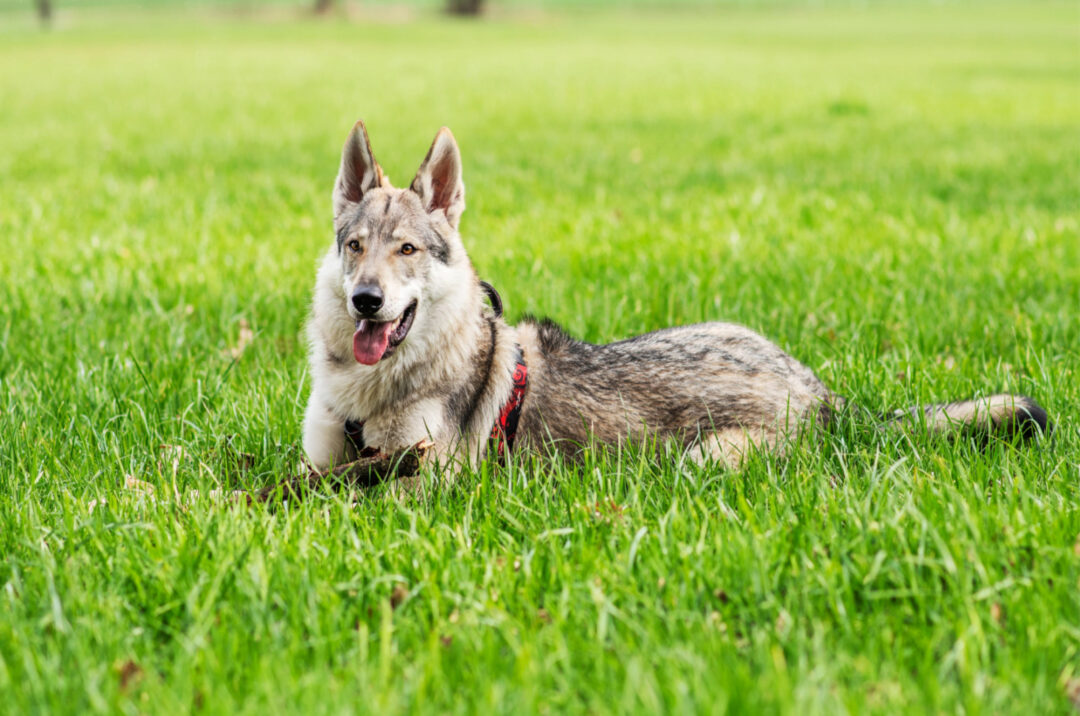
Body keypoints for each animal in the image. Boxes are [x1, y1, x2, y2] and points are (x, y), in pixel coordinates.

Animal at [301, 121, 1050, 480]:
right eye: (356, 246)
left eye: (407, 250)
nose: (366, 301)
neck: (370, 394)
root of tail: (822, 393)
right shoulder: (322, 455)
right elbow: (309, 479)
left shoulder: (424, 481)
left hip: (700, 461)